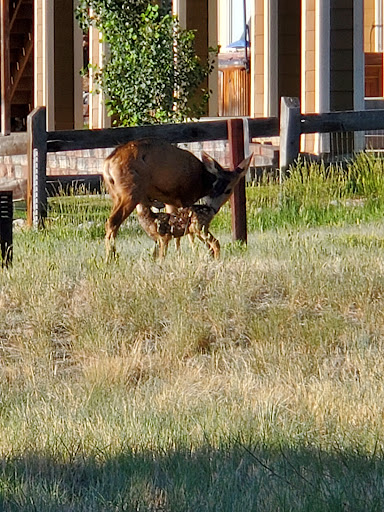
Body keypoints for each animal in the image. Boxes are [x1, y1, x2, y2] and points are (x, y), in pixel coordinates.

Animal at [103, 138, 252, 260]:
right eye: (229, 190)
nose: (212, 209)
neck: (202, 181)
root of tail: (107, 163)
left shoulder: (170, 199)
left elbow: (175, 226)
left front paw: (177, 254)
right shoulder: (186, 197)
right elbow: (189, 231)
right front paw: (195, 252)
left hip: (115, 194)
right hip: (130, 192)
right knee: (112, 222)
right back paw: (110, 258)